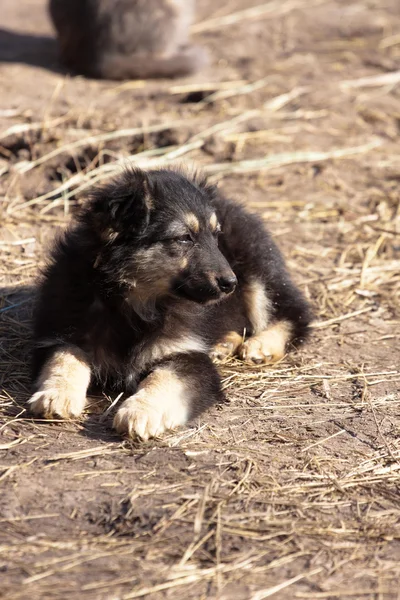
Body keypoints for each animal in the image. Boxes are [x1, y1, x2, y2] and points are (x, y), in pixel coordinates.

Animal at [30, 166, 312, 438]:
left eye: (215, 236)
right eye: (184, 237)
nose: (231, 284)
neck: (135, 304)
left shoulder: (187, 355)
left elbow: (165, 379)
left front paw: (140, 412)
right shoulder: (64, 329)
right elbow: (65, 357)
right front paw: (56, 395)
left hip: (260, 275)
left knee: (294, 314)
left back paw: (261, 345)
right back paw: (224, 343)